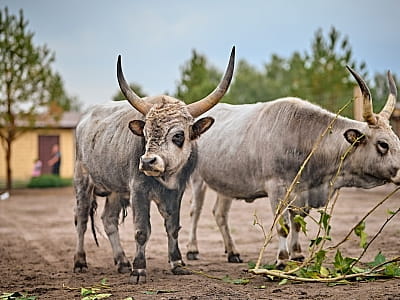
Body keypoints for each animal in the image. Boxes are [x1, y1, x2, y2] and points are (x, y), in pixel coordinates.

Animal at [73, 47, 234, 284]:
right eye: (145, 134)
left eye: (178, 135)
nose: (148, 161)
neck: (166, 177)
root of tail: (84, 120)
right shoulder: (138, 190)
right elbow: (142, 230)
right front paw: (139, 269)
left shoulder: (177, 192)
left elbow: (173, 227)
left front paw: (177, 263)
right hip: (83, 181)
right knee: (82, 219)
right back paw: (80, 261)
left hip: (115, 189)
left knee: (108, 220)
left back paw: (122, 262)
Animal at [188, 67, 400, 268]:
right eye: (383, 144)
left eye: (397, 141)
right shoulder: (277, 189)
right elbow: (283, 226)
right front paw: (282, 259)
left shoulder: (302, 192)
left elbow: (297, 223)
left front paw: (297, 254)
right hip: (197, 179)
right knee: (195, 211)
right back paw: (192, 249)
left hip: (226, 183)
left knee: (220, 214)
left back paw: (233, 252)